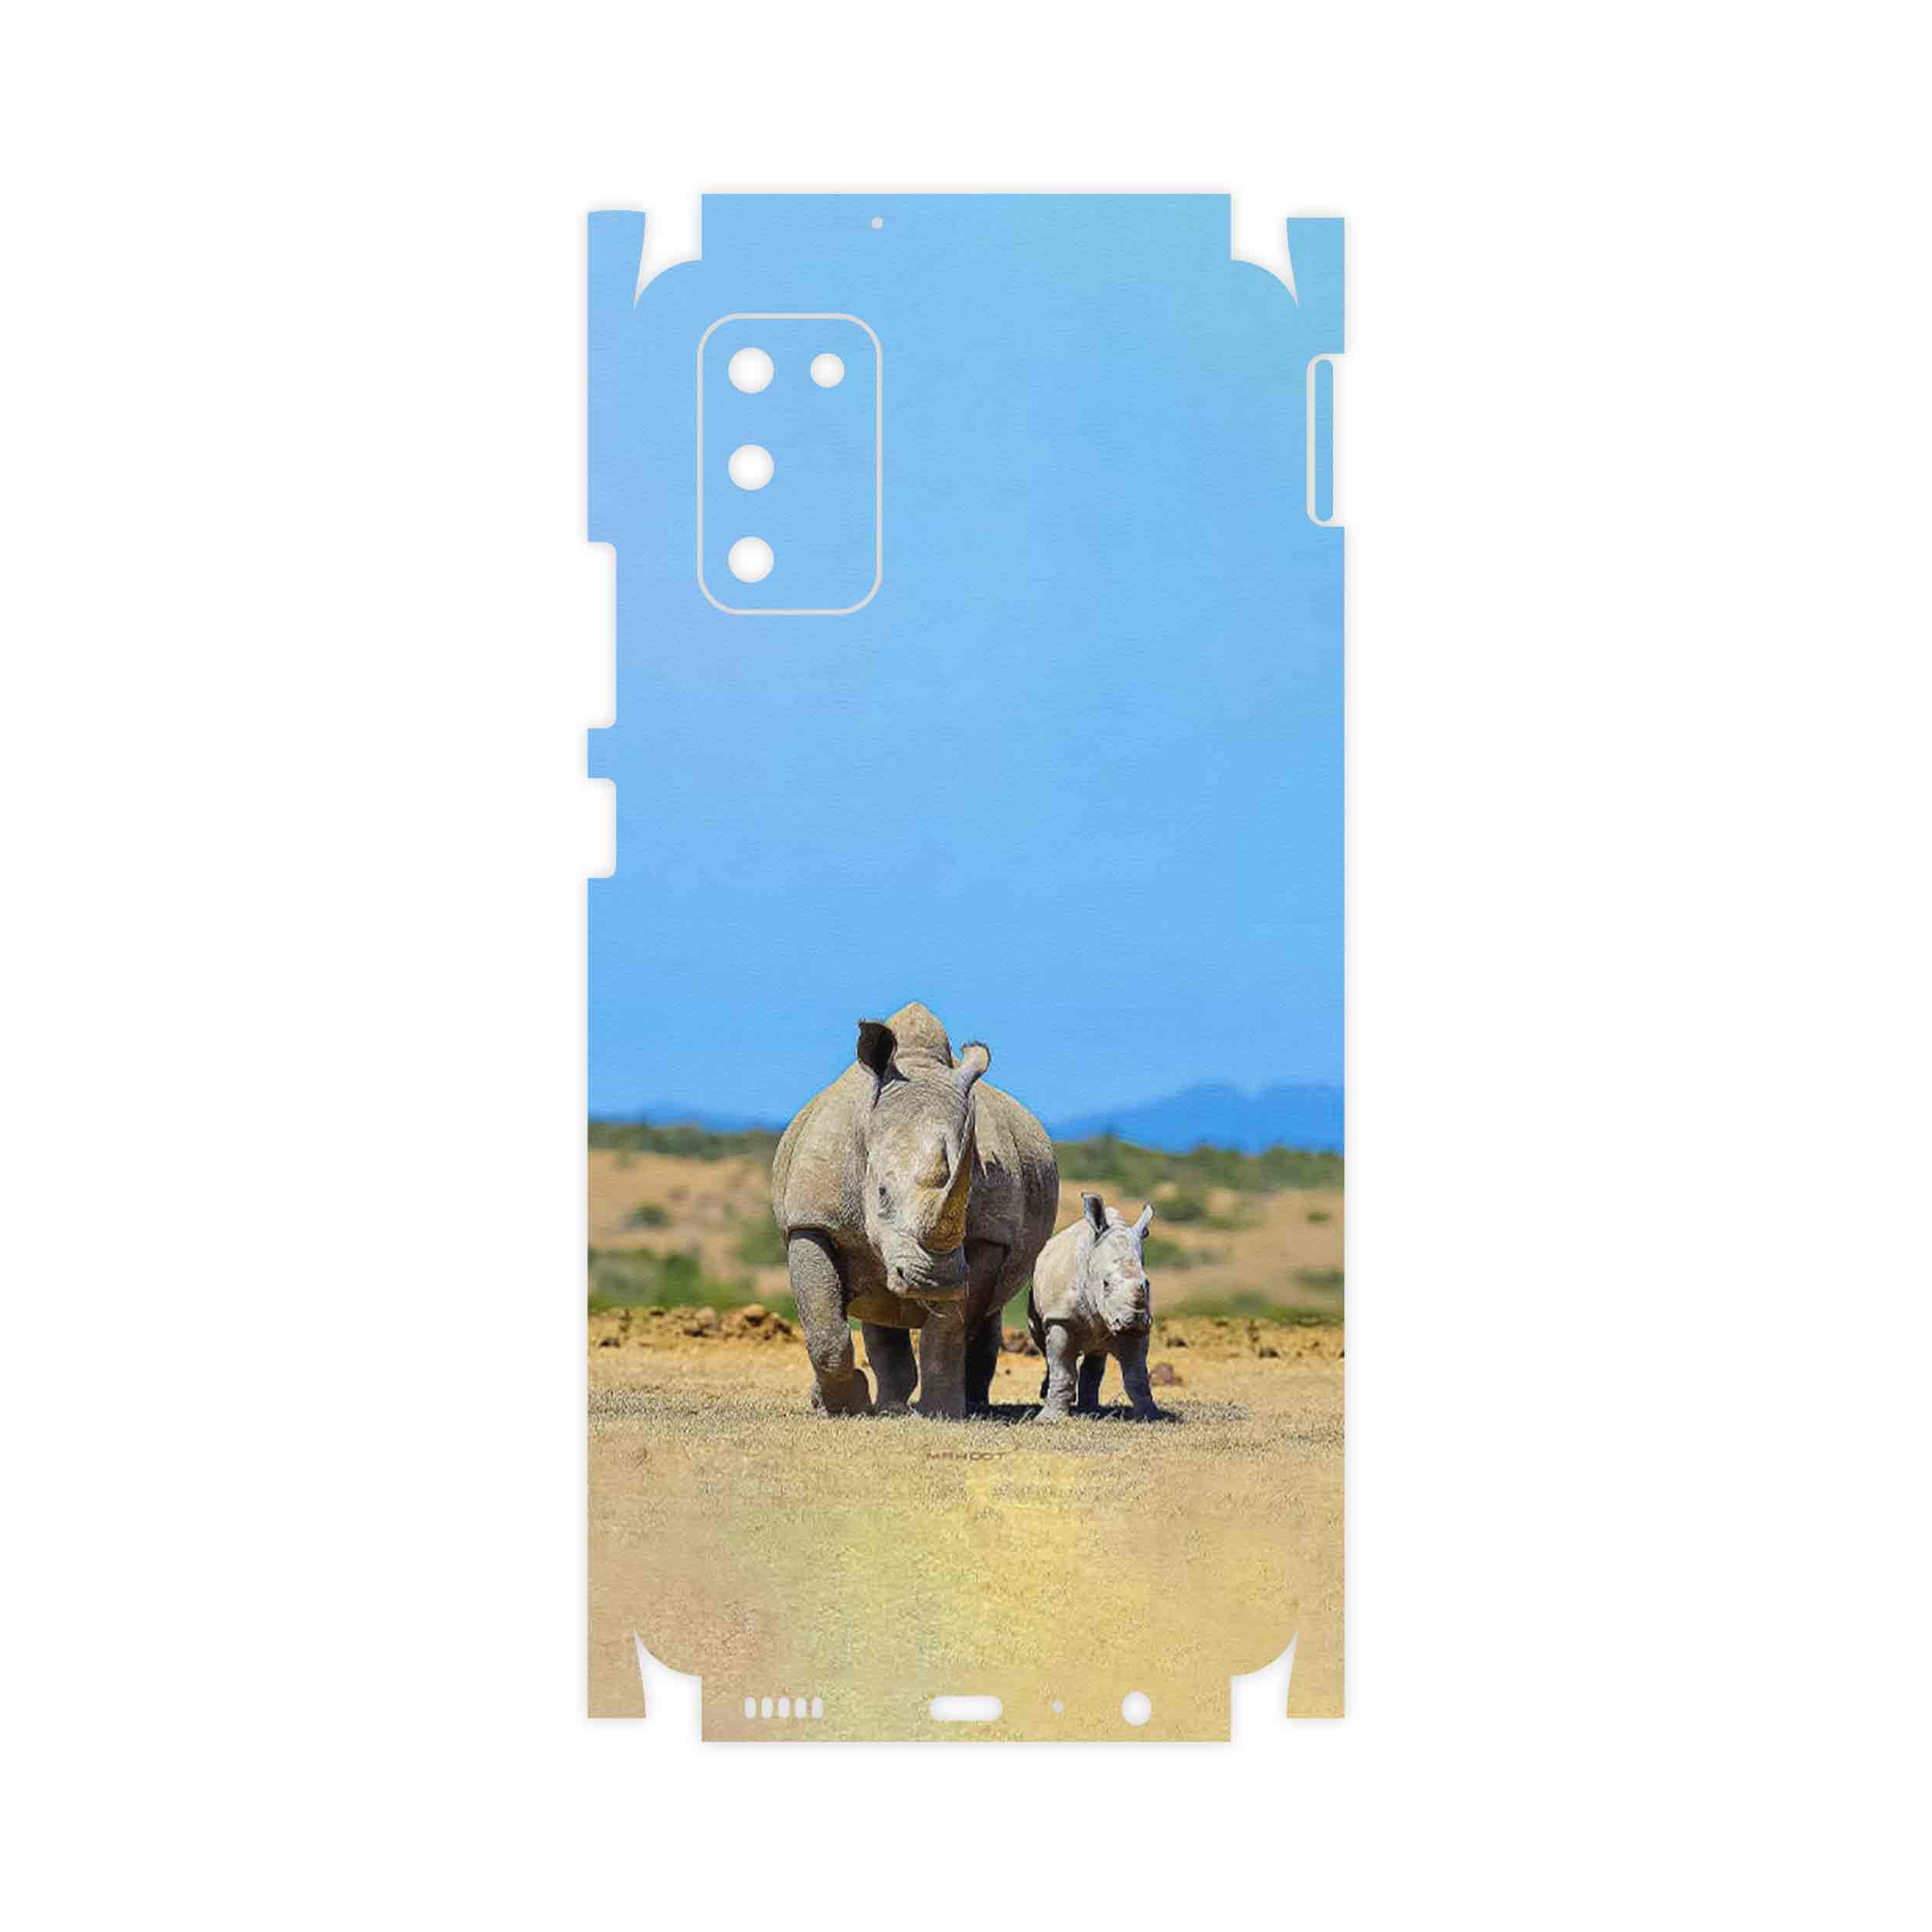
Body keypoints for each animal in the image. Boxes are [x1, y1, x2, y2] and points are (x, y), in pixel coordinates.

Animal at [770, 1003, 1060, 1418]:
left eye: (968, 1197)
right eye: (881, 1193)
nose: (933, 1280)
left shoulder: (988, 1237)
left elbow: (949, 1330)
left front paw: (942, 1411)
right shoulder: (812, 1220)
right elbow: (824, 1326)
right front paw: (846, 1406)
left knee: (983, 1314)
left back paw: (968, 1404)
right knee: (876, 1306)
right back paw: (883, 1406)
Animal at [1027, 1194, 1163, 1420]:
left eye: (1147, 1284)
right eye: (1105, 1284)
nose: (1133, 1321)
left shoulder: (1141, 1328)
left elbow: (1137, 1377)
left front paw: (1151, 1416)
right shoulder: (1060, 1318)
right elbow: (1062, 1371)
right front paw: (1048, 1420)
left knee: (1096, 1354)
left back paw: (1090, 1410)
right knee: (1044, 1346)